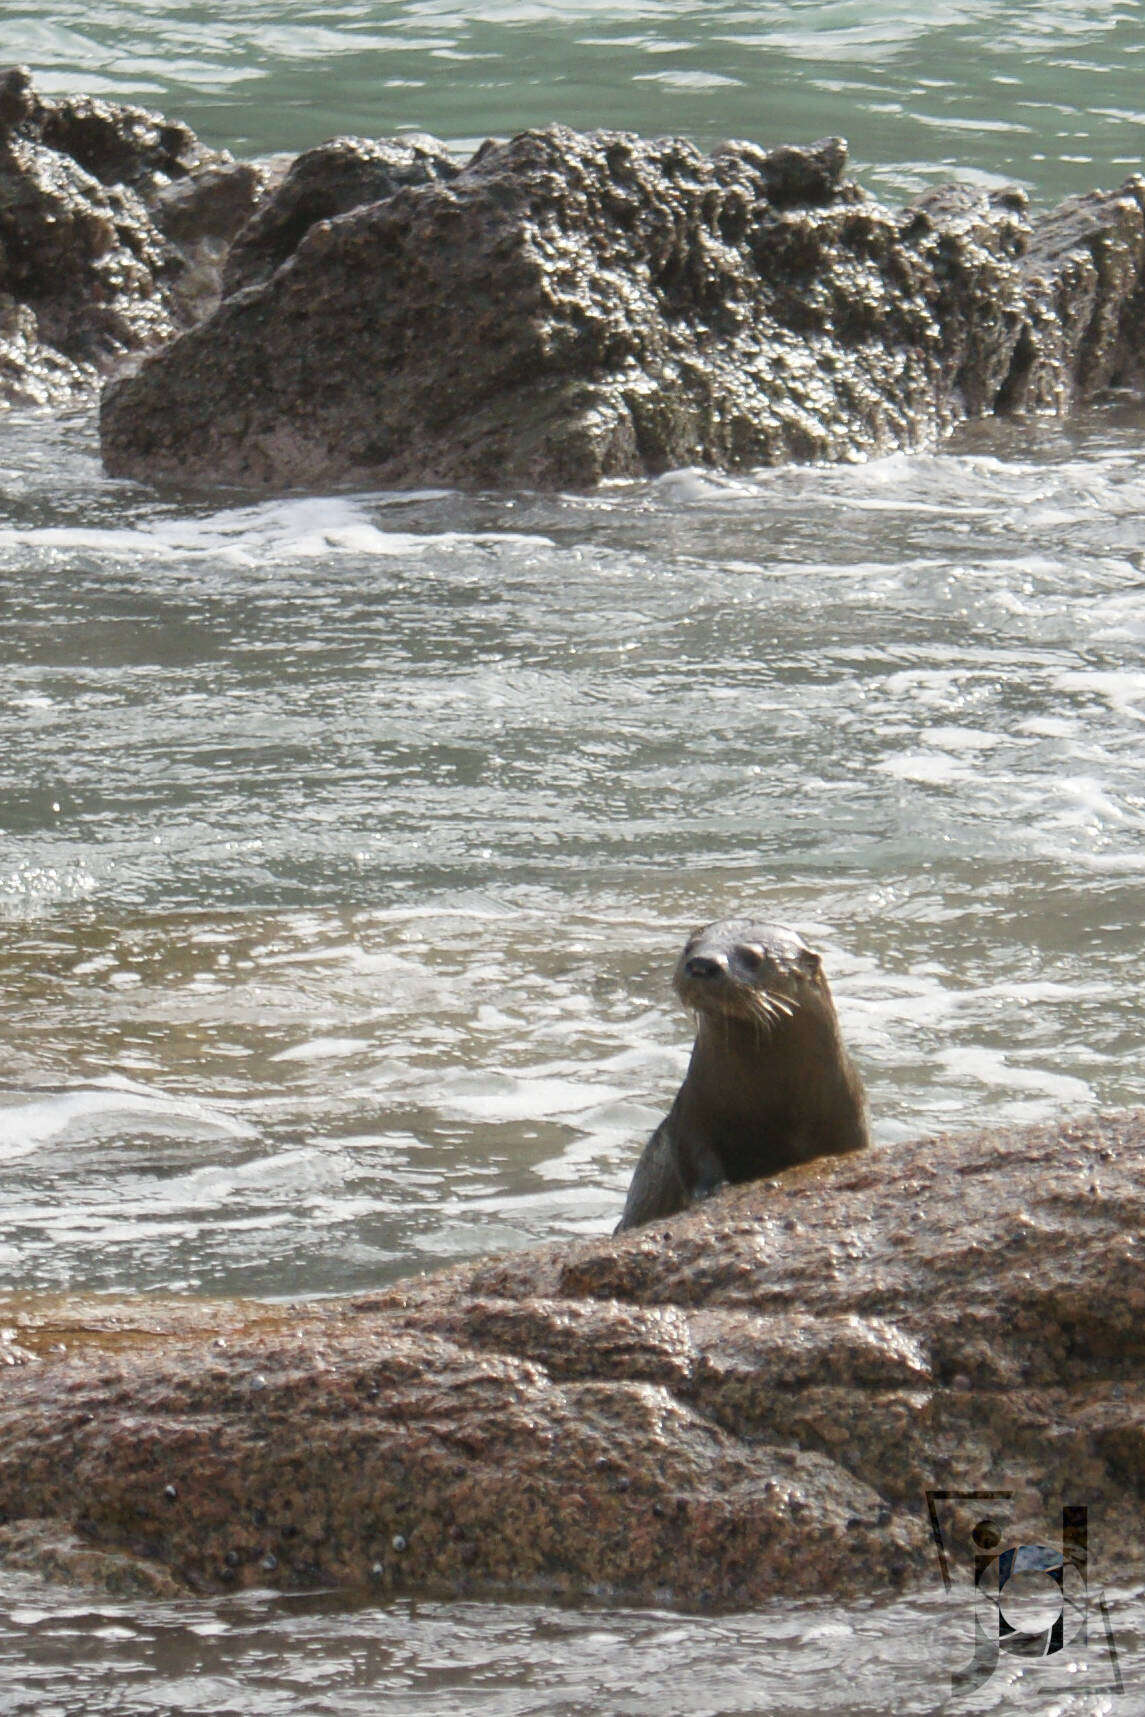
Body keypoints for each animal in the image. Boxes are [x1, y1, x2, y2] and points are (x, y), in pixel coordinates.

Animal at [617, 920, 868, 1229]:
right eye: (689, 947)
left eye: (754, 957)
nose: (702, 963)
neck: (769, 1102)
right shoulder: (692, 1108)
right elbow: (694, 1154)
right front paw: (711, 1190)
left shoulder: (848, 1120)